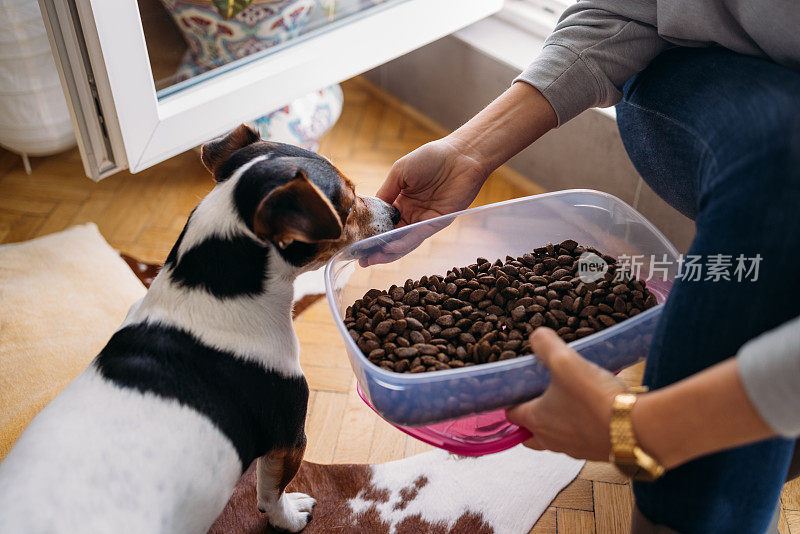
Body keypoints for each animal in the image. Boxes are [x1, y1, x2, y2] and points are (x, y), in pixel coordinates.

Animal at [0, 123, 400, 532]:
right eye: (347, 204)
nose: (396, 211)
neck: (212, 295)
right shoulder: (289, 439)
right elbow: (270, 495)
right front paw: (289, 518)